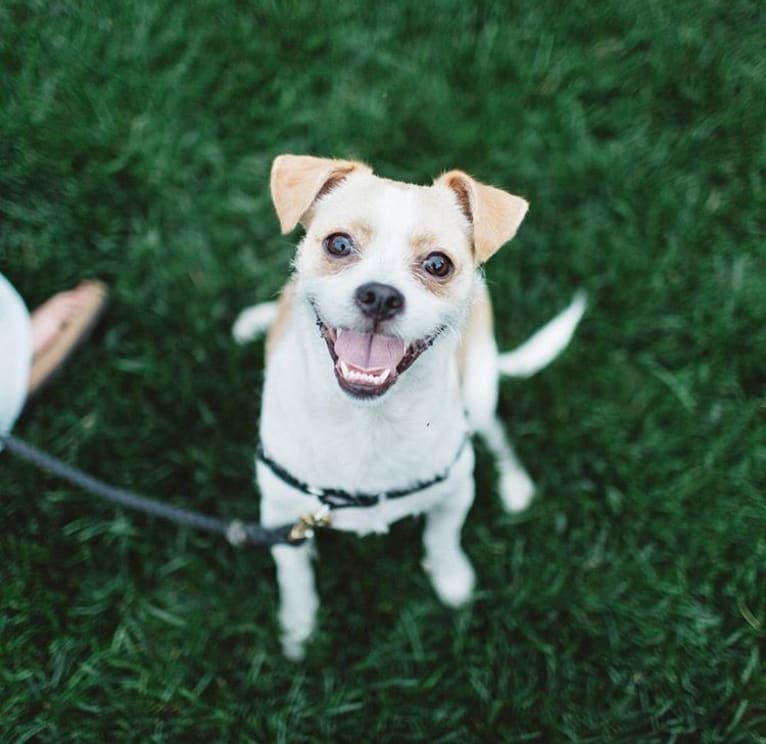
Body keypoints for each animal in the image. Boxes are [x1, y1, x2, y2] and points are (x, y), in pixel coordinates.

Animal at [234, 155, 588, 656]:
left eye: (438, 264)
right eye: (338, 244)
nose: (381, 295)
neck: (367, 422)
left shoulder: (456, 492)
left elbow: (443, 538)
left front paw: (453, 581)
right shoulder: (281, 517)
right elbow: (295, 575)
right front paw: (298, 628)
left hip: (480, 388)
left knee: (494, 430)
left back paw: (515, 483)